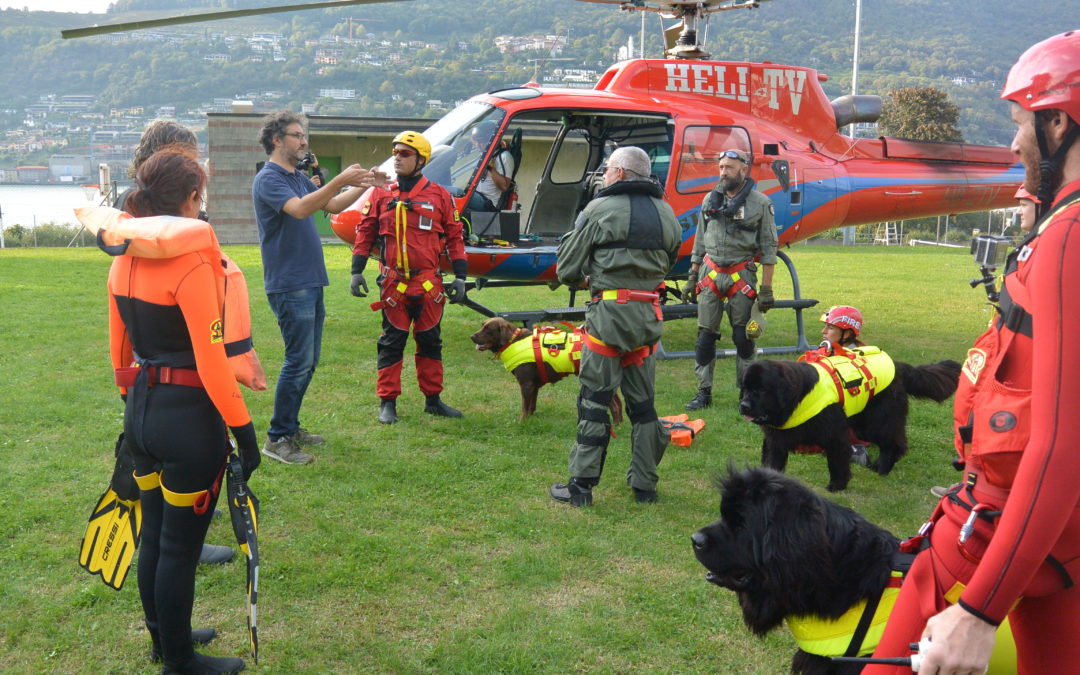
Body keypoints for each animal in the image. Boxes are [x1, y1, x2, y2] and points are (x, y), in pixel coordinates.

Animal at [470, 315, 626, 421]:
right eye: (482, 325)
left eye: (488, 329)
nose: (472, 336)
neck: (513, 341)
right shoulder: (534, 385)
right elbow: (531, 406)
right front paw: (530, 420)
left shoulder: (526, 384)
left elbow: (524, 407)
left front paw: (521, 422)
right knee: (618, 404)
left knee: (615, 406)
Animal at [738, 352, 959, 490]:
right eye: (745, 388)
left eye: (761, 390)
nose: (743, 405)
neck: (796, 398)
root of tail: (897, 365)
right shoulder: (776, 440)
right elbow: (771, 462)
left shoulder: (834, 435)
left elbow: (836, 462)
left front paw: (837, 485)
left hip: (874, 423)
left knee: (893, 443)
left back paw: (883, 468)